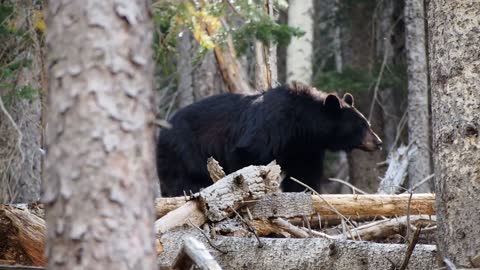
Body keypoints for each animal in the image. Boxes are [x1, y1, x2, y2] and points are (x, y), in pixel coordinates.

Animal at [158, 82, 382, 196]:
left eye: (367, 124)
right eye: (362, 125)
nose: (378, 142)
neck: (303, 125)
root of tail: (163, 129)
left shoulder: (305, 147)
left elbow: (304, 174)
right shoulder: (271, 127)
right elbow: (247, 155)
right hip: (182, 151)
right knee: (181, 181)